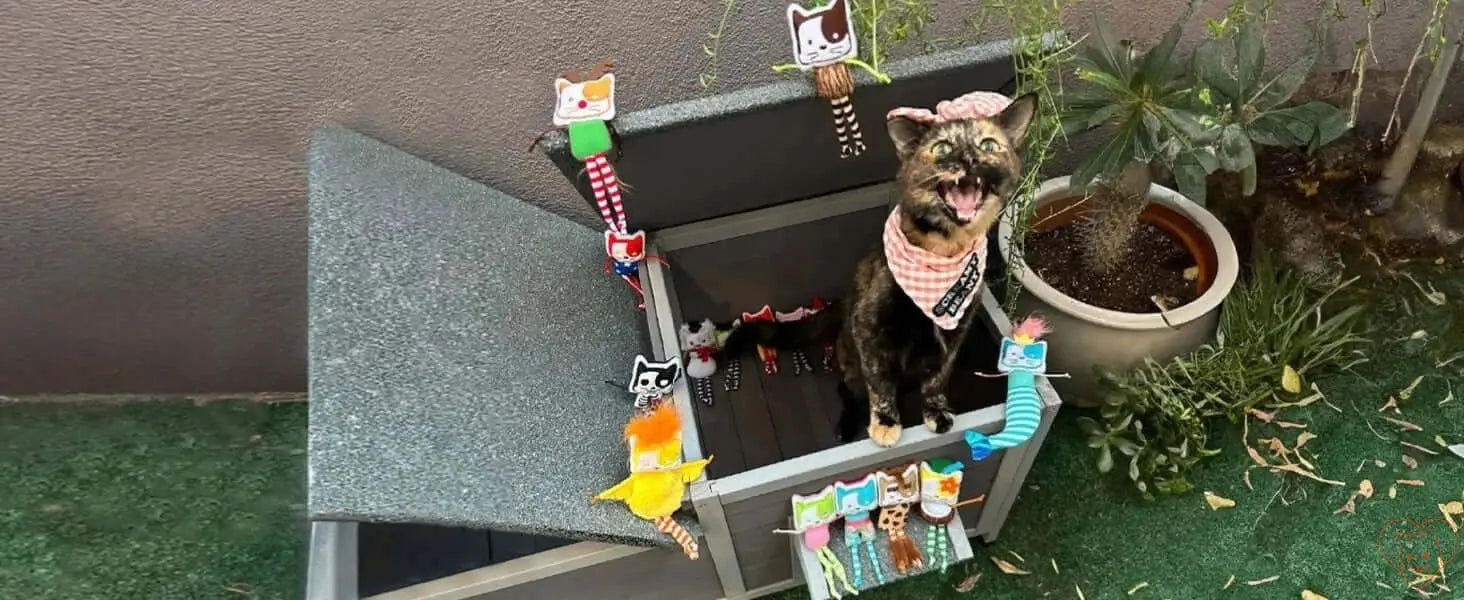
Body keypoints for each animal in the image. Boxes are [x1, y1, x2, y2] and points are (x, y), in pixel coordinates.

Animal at [726, 93, 1036, 447]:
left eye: (988, 144)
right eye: (942, 148)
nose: (969, 159)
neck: (943, 253)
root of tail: (842, 301)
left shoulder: (955, 335)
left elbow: (937, 378)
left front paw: (935, 409)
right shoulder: (870, 332)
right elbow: (880, 382)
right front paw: (886, 422)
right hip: (849, 362)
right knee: (848, 389)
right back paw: (848, 423)